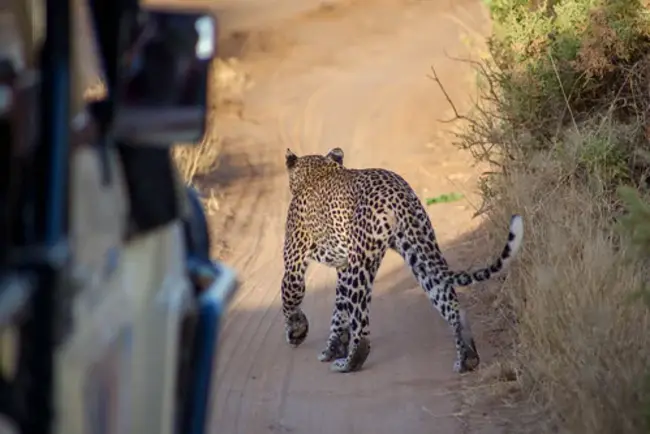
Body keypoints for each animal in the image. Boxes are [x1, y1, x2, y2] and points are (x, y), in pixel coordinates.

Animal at [278, 147, 520, 374]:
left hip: (363, 265)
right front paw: (332, 348)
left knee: (362, 328)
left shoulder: (295, 259)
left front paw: (297, 332)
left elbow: (290, 297)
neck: (318, 170)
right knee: (451, 303)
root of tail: (395, 192)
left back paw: (348, 363)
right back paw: (467, 359)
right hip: (419, 249)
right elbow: (339, 311)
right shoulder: (344, 267)